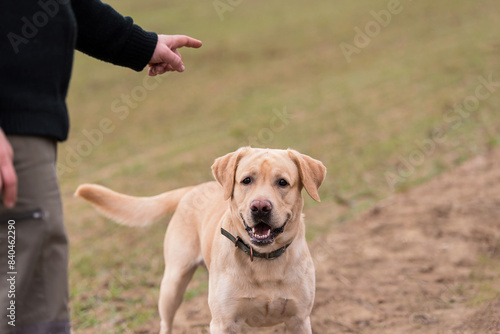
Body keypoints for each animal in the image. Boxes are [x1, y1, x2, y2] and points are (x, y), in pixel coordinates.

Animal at [74, 147, 324, 332]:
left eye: (282, 182)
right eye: (246, 180)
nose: (260, 207)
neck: (263, 259)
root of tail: (192, 188)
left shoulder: (299, 319)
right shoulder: (224, 323)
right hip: (172, 285)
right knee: (166, 323)